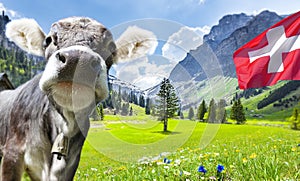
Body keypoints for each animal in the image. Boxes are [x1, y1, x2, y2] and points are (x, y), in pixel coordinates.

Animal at [0, 16, 155, 180]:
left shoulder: (71, 163)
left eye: (111, 48)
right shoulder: (12, 152)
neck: (64, 126)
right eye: (48, 40)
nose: (78, 59)